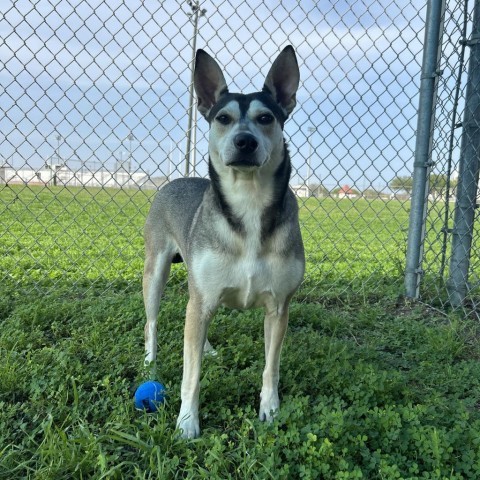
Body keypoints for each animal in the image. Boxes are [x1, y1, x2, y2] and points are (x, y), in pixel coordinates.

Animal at [142, 46, 306, 438]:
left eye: (266, 118)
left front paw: (270, 409)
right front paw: (187, 422)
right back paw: (151, 362)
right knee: (152, 321)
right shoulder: (200, 300)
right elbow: (191, 375)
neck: (248, 204)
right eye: (223, 118)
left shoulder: (279, 308)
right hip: (155, 271)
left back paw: (208, 348)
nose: (245, 141)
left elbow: (270, 367)